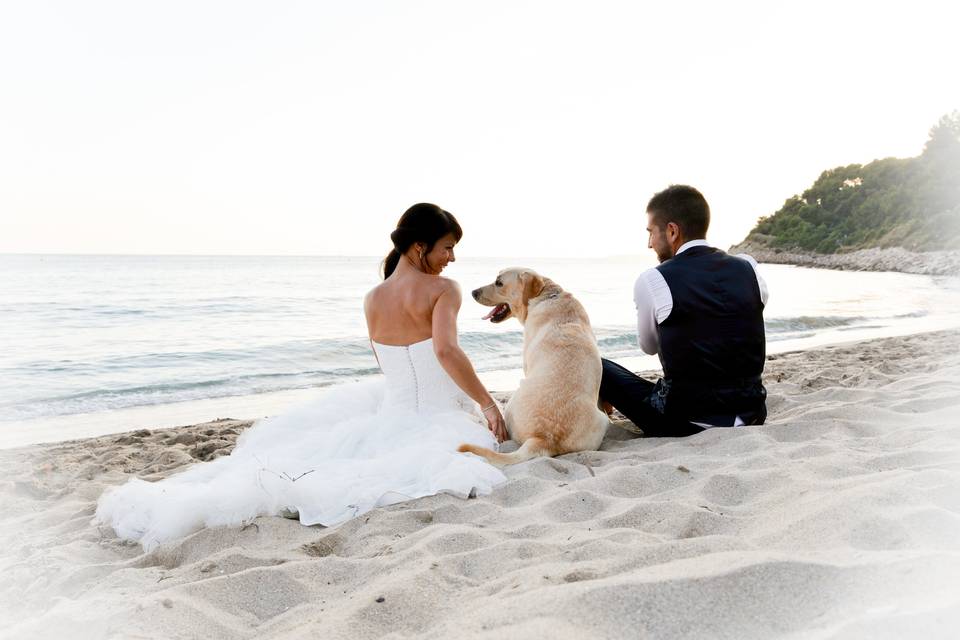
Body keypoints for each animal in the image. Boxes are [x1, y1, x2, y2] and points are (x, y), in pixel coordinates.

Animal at [460, 266, 608, 464]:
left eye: (499, 282)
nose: (473, 292)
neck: (547, 295)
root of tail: (544, 438)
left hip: (512, 403)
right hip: (602, 421)